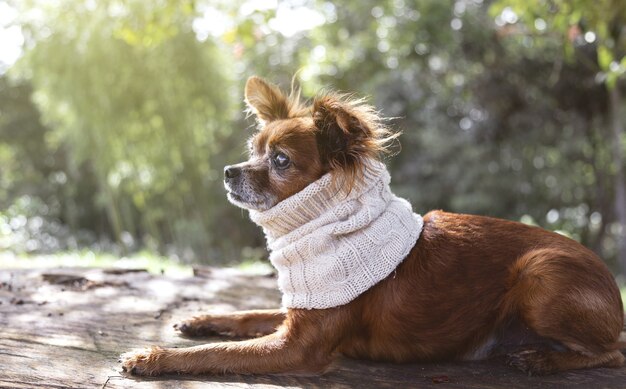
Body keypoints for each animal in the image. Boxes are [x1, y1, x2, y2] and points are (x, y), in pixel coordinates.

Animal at [119, 76, 620, 376]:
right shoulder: (302, 307)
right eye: (253, 150)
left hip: (540, 273)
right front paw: (201, 318)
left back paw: (541, 358)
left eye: (280, 161)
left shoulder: (297, 347)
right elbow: (248, 315)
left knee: (614, 351)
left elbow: (217, 355)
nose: (228, 171)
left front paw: (152, 355)